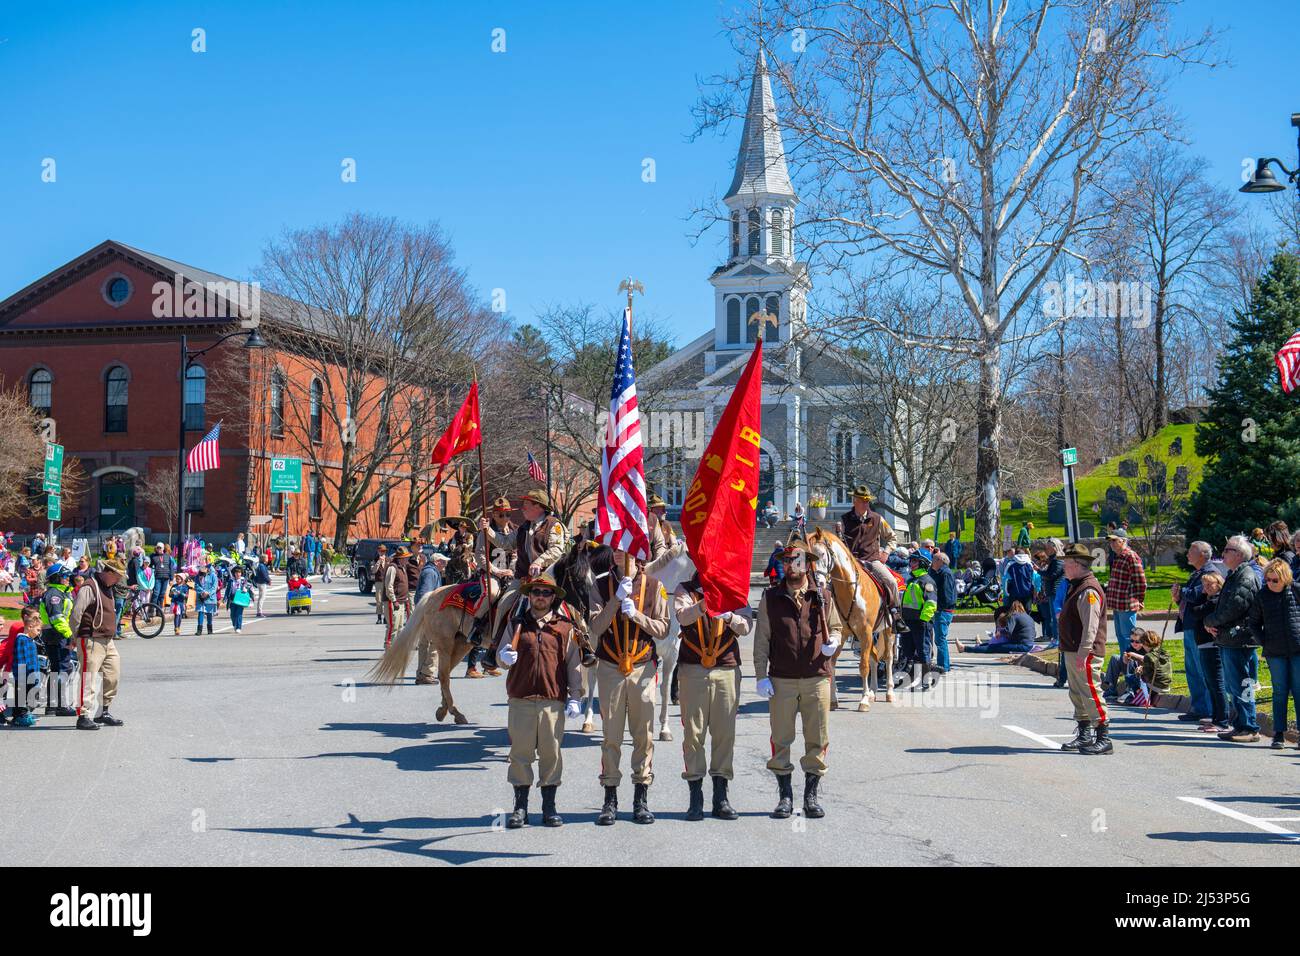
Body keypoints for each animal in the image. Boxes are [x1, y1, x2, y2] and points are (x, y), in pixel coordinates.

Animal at [371, 574, 506, 723]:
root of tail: (432, 595)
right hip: (445, 644)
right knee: (444, 676)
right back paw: (454, 713)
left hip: (461, 644)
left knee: (445, 675)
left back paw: (443, 710)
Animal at [800, 522, 894, 712]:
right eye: (807, 558)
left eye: (821, 554)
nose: (817, 583)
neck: (851, 590)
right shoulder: (842, 634)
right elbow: (832, 665)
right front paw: (833, 700)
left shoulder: (865, 632)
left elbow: (863, 666)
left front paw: (863, 701)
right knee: (874, 657)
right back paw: (873, 692)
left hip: (887, 630)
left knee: (887, 658)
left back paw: (888, 692)